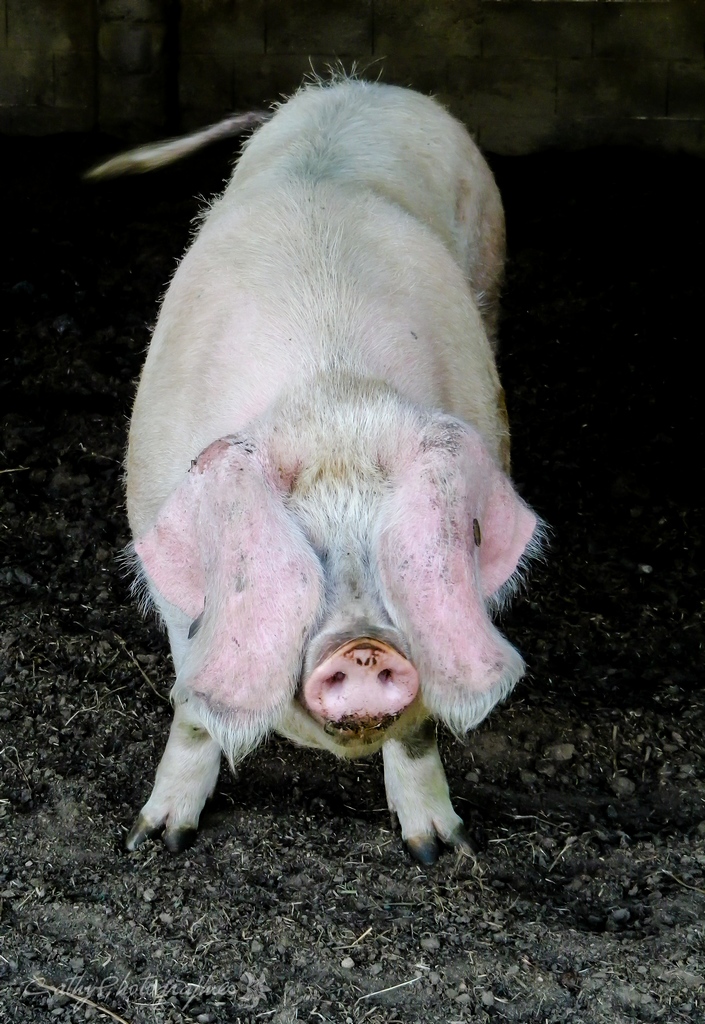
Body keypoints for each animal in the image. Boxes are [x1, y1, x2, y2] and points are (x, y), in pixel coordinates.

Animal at [94, 77, 545, 864]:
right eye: (298, 545)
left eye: (398, 543)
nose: (363, 648)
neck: (333, 404)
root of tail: (361, 82)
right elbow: (193, 704)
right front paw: (155, 839)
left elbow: (421, 728)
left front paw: (438, 850)